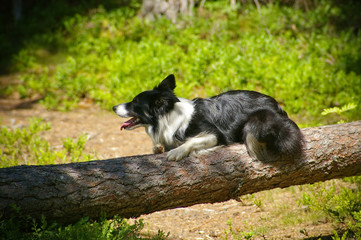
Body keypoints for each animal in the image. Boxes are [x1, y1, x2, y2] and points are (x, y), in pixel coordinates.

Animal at [112, 75, 304, 161]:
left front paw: (176, 151)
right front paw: (159, 147)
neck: (168, 117)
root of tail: (277, 105)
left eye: (134, 103)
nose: (113, 107)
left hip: (256, 123)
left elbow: (191, 142)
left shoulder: (213, 134)